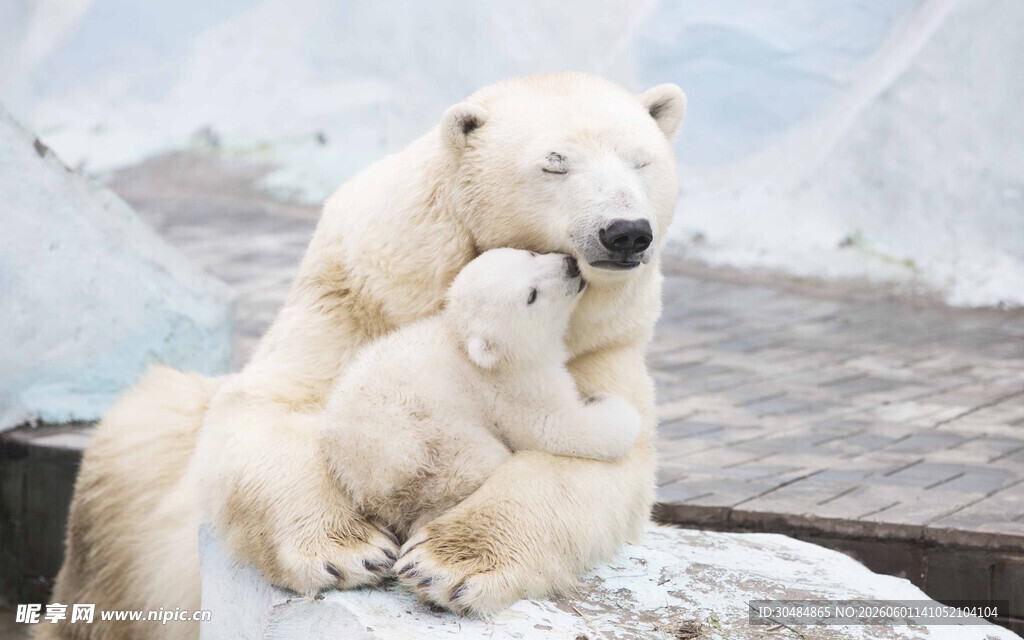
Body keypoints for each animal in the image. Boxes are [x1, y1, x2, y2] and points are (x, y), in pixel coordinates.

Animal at [320, 248, 642, 573]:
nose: (571, 265)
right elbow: (559, 429)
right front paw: (608, 403)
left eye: (531, 253)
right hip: (436, 446)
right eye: (531, 296)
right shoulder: (514, 386)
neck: (464, 343)